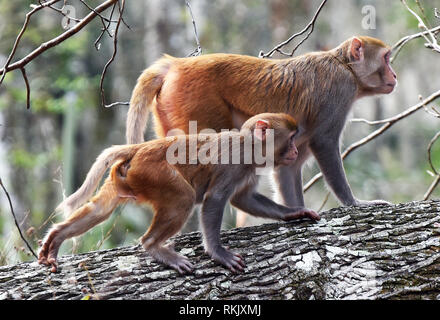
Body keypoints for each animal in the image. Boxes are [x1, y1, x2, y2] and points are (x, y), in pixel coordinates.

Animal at [38, 112, 320, 272]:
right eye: (291, 138)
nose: (296, 151)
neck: (248, 145)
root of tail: (139, 148)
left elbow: (244, 198)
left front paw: (295, 212)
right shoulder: (235, 163)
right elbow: (215, 200)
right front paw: (218, 253)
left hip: (125, 177)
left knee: (100, 209)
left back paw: (56, 237)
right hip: (153, 172)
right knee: (183, 198)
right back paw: (154, 246)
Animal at [125, 36, 398, 209]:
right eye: (386, 58)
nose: (394, 75)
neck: (344, 64)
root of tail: (177, 64)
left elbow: (289, 168)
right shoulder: (339, 91)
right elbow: (324, 142)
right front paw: (354, 203)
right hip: (195, 103)